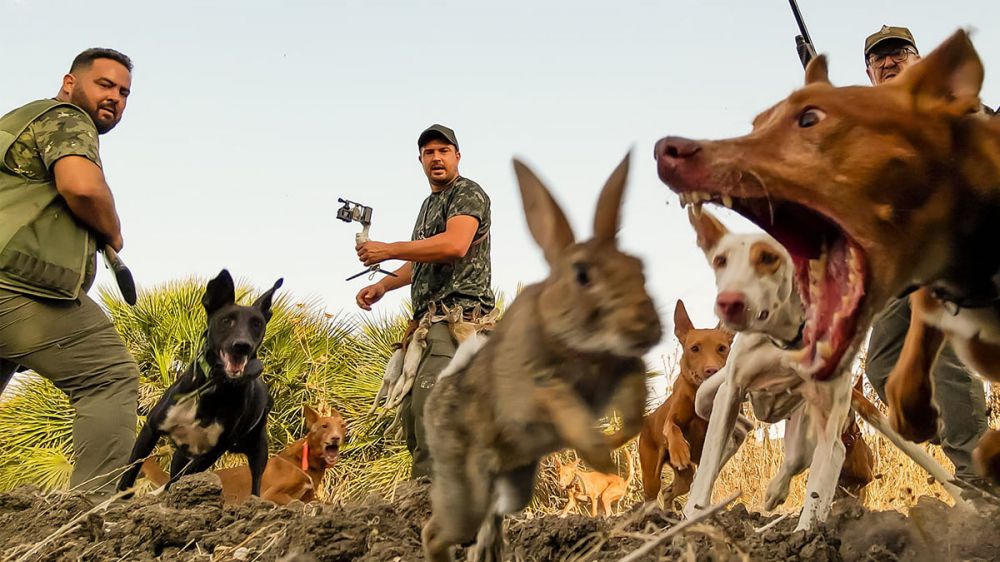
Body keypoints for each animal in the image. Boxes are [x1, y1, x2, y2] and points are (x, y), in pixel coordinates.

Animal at [121, 270, 286, 492]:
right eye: (226, 320)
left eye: (257, 324)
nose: (242, 345)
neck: (214, 386)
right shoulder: (150, 429)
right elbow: (128, 477)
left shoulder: (211, 453)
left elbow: (176, 481)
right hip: (180, 456)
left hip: (258, 451)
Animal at [139, 402, 346, 504]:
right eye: (324, 426)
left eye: (342, 426)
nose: (336, 438)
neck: (308, 464)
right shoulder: (270, 494)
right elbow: (298, 503)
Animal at [422, 151, 664, 560]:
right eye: (582, 274)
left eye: (640, 267)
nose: (649, 328)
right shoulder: (536, 390)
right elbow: (561, 404)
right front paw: (600, 456)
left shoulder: (624, 367)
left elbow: (633, 412)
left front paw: (613, 444)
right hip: (464, 495)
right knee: (435, 532)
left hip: (513, 486)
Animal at [636, 300, 740, 506]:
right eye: (694, 348)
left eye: (722, 348)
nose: (711, 370)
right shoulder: (672, 418)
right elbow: (672, 427)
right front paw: (680, 451)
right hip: (651, 476)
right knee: (653, 494)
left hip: (685, 477)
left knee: (669, 491)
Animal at [684, 208, 964, 528]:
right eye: (720, 260)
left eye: (768, 258)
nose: (729, 302)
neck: (788, 339)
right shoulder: (732, 389)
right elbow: (708, 463)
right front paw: (692, 516)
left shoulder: (829, 420)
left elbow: (818, 488)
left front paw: (806, 533)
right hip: (708, 394)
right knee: (736, 427)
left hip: (808, 429)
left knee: (805, 457)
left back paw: (778, 492)